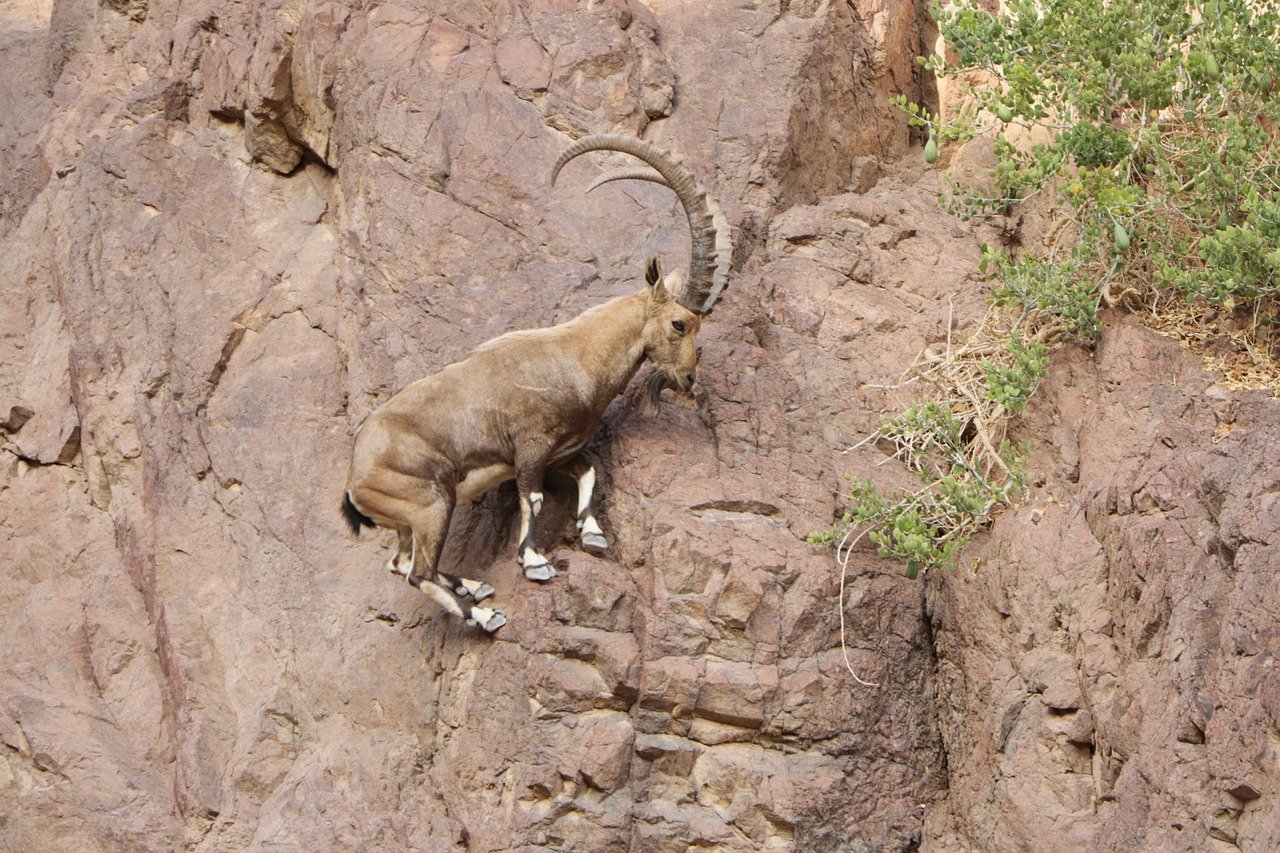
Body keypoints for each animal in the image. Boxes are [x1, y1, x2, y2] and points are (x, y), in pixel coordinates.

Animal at [341, 135, 732, 632]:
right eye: (680, 323)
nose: (688, 379)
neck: (576, 357)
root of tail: (354, 479)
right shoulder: (530, 445)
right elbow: (534, 496)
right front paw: (534, 561)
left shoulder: (560, 449)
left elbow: (589, 470)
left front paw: (592, 534)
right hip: (430, 502)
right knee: (417, 573)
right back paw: (484, 613)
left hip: (412, 518)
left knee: (400, 562)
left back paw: (473, 587)